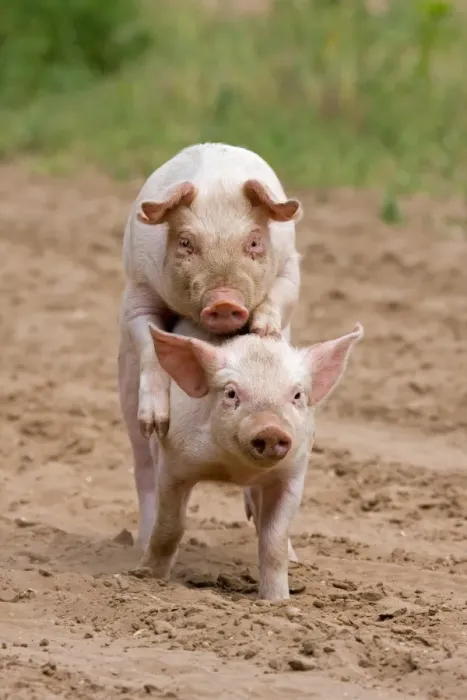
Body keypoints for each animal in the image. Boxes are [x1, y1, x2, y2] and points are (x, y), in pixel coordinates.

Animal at [119, 143, 302, 546]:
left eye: (254, 242)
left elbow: (280, 297)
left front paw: (264, 331)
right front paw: (157, 422)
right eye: (186, 243)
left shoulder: (290, 266)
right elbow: (150, 339)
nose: (224, 303)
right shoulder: (138, 289)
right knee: (144, 470)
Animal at [137, 318, 364, 601]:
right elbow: (170, 526)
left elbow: (274, 540)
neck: (236, 471)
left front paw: (277, 600)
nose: (271, 429)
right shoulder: (174, 463)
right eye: (231, 393)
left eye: (297, 395)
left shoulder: (292, 475)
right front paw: (148, 576)